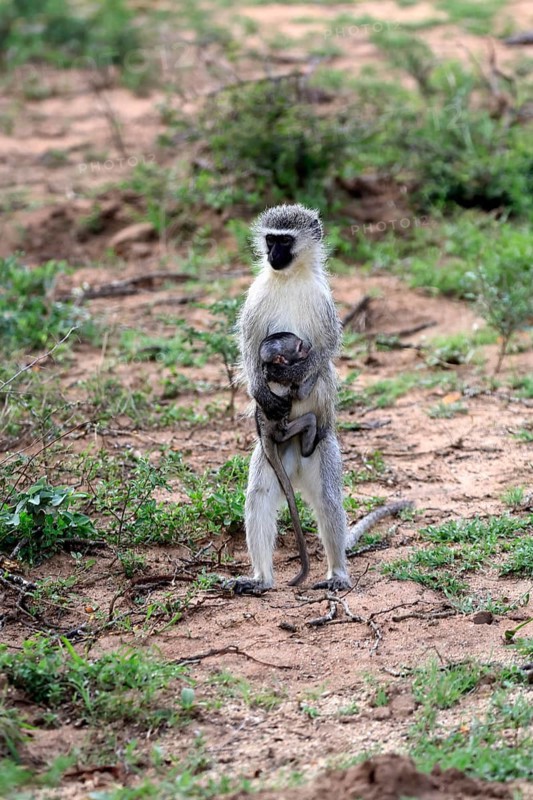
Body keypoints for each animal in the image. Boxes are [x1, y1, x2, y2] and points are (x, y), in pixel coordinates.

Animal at [231, 203, 412, 594]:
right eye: (270, 239)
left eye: (285, 241)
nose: (273, 255)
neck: (289, 278)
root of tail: (296, 453)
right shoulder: (255, 297)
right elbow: (249, 349)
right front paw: (263, 389)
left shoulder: (324, 304)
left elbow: (326, 350)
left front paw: (292, 373)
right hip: (271, 455)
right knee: (259, 497)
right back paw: (261, 579)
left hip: (322, 450)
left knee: (329, 499)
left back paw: (337, 573)